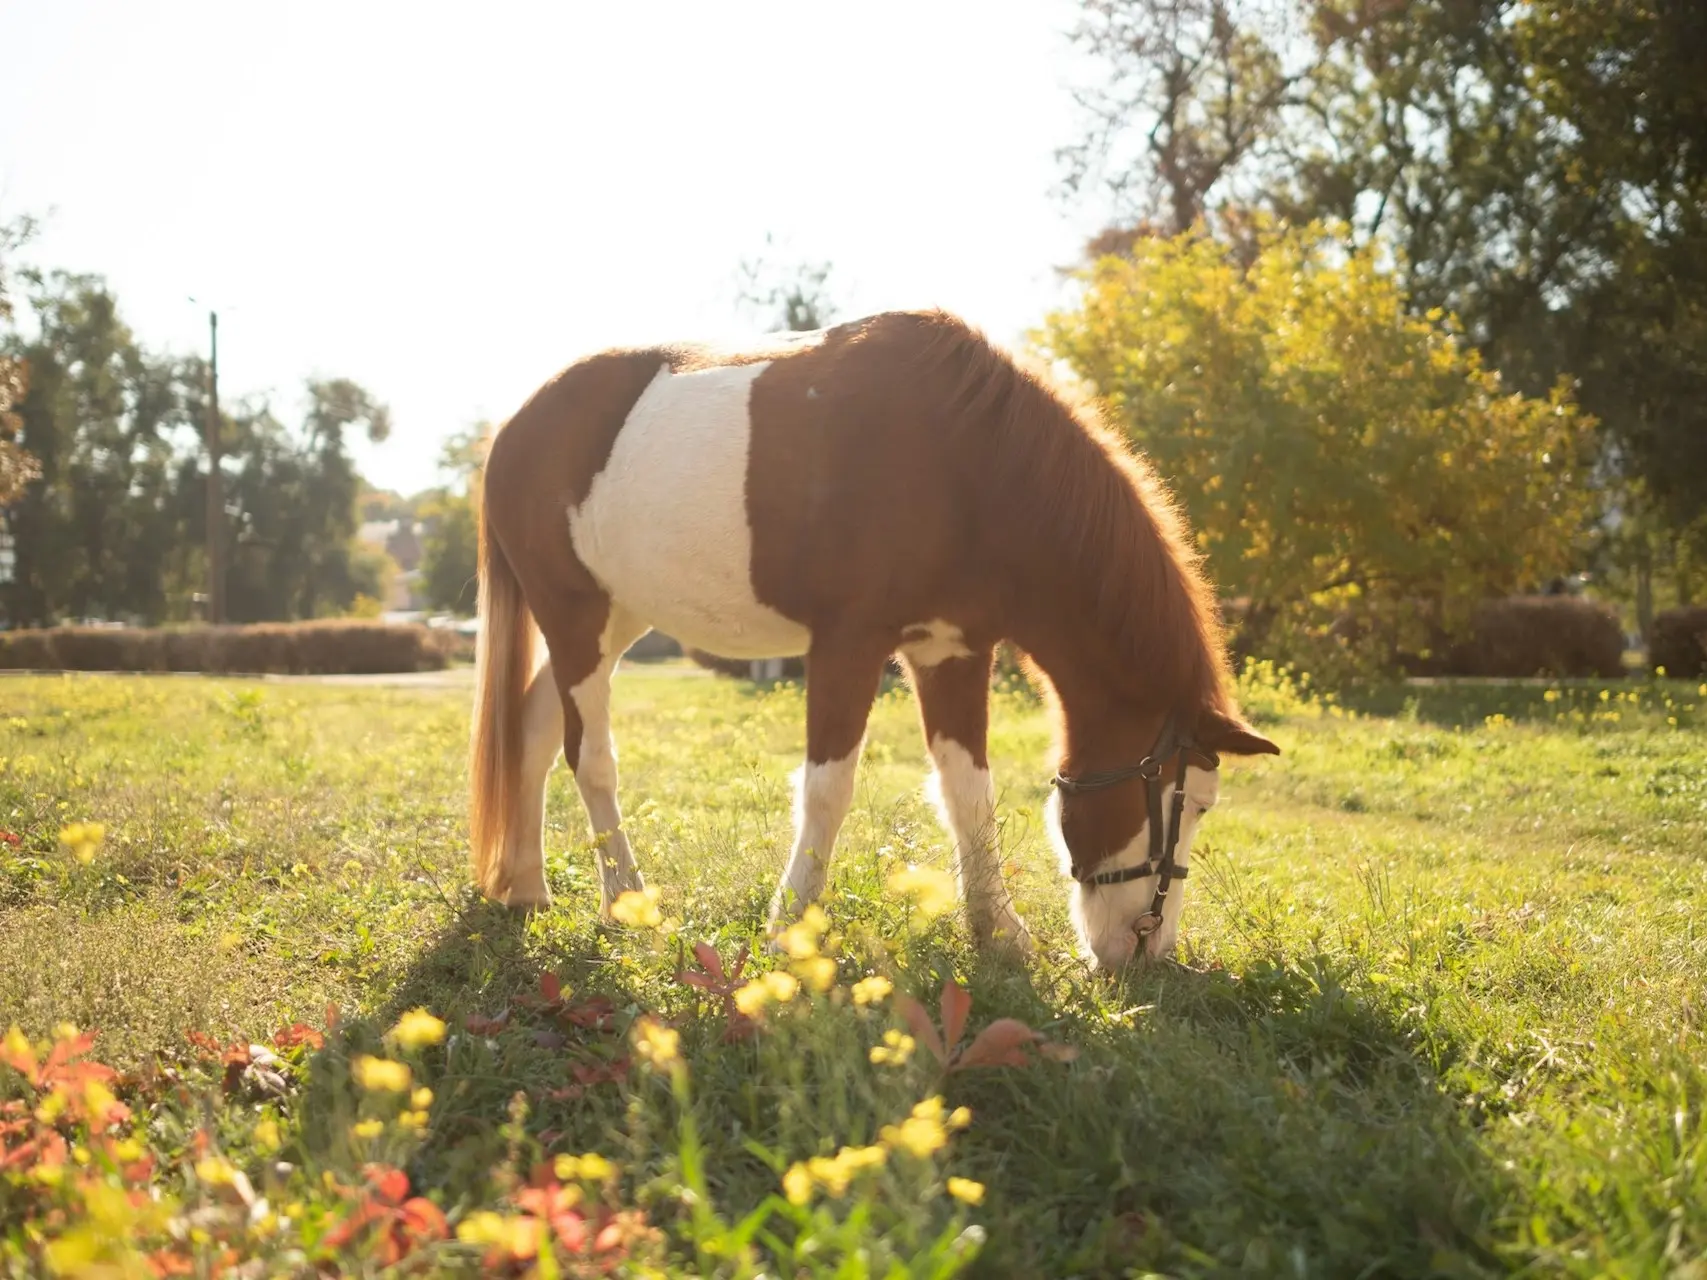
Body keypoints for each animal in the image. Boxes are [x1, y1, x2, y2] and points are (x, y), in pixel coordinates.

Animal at [474, 314, 1276, 969]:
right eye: (1193, 805)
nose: (1146, 953)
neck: (967, 461)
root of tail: (512, 426)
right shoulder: (847, 647)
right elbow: (828, 790)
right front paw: (790, 928)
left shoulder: (952, 652)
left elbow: (967, 792)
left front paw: (997, 933)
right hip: (574, 617)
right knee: (589, 759)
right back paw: (623, 900)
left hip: (615, 618)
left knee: (534, 732)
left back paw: (526, 886)